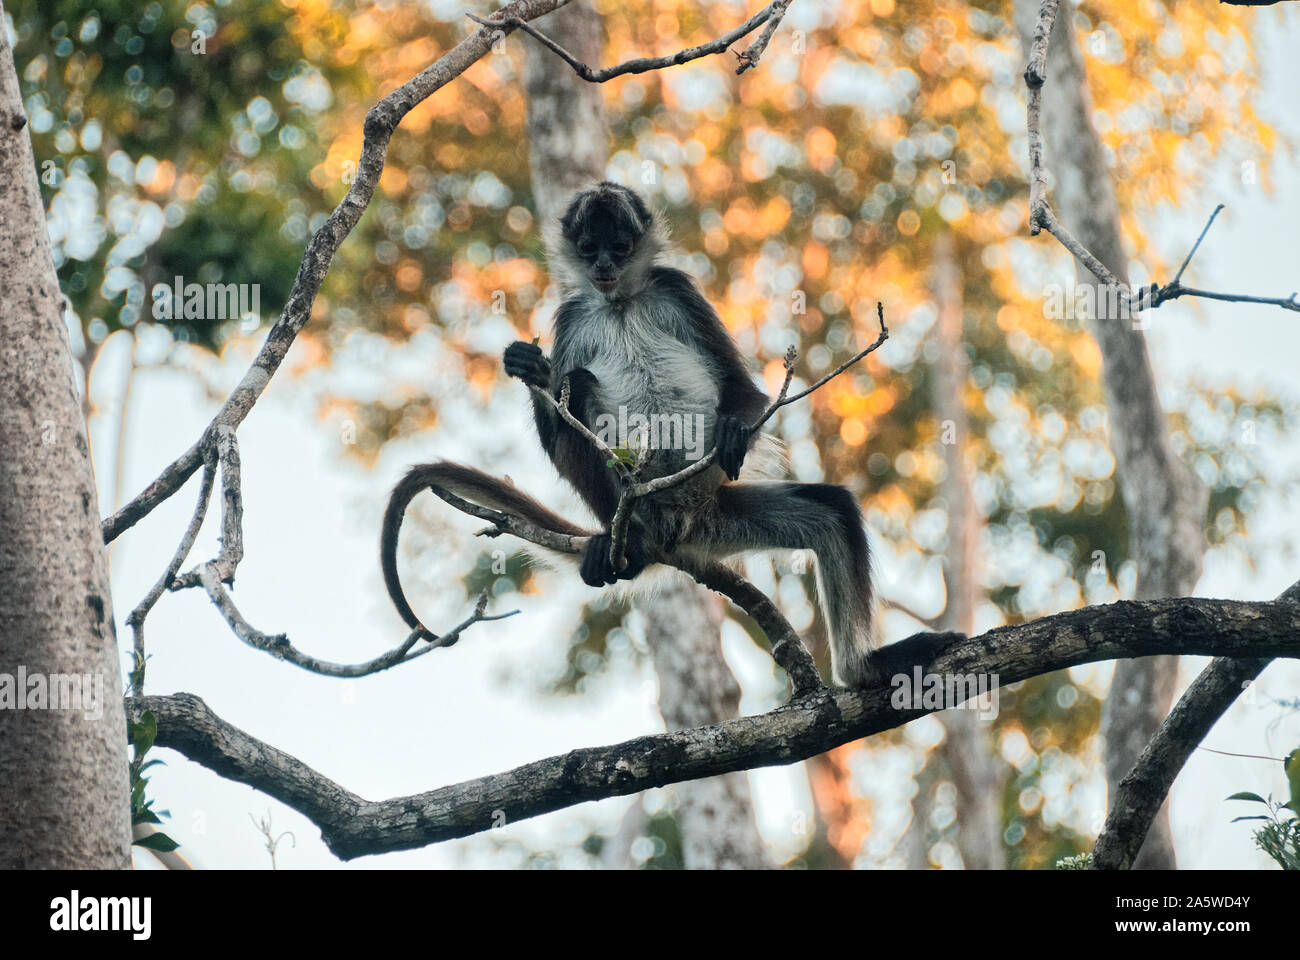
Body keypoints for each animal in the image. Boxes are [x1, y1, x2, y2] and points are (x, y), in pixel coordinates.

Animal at [379, 180, 878, 681]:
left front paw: (733, 431)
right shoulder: (573, 312)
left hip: (715, 511)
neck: (619, 302)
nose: (602, 266)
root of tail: (673, 528)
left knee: (833, 512)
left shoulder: (675, 287)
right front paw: (529, 368)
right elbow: (556, 429)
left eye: (618, 247)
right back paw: (627, 545)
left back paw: (861, 671)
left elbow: (740, 386)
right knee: (580, 387)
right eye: (588, 248)